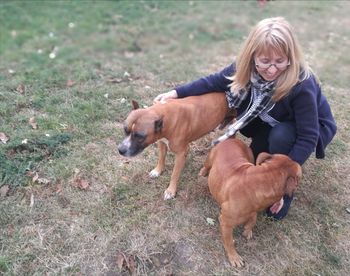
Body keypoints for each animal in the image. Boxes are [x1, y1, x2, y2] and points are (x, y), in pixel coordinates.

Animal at [201, 138, 302, 268]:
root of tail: (232, 138)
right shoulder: (226, 223)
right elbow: (229, 242)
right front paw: (234, 256)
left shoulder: (253, 210)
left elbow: (253, 219)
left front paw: (248, 230)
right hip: (210, 158)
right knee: (207, 165)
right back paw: (203, 172)